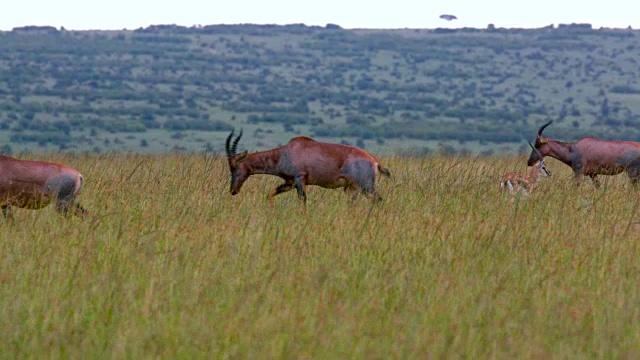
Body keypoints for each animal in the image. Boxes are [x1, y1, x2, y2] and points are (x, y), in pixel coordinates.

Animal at [225, 130, 390, 204]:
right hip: (352, 188)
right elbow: (270, 194)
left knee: (378, 200)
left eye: (234, 167)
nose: (233, 190)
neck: (286, 151)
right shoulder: (290, 183)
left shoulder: (299, 179)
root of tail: (374, 161)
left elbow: (302, 200)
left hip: (366, 186)